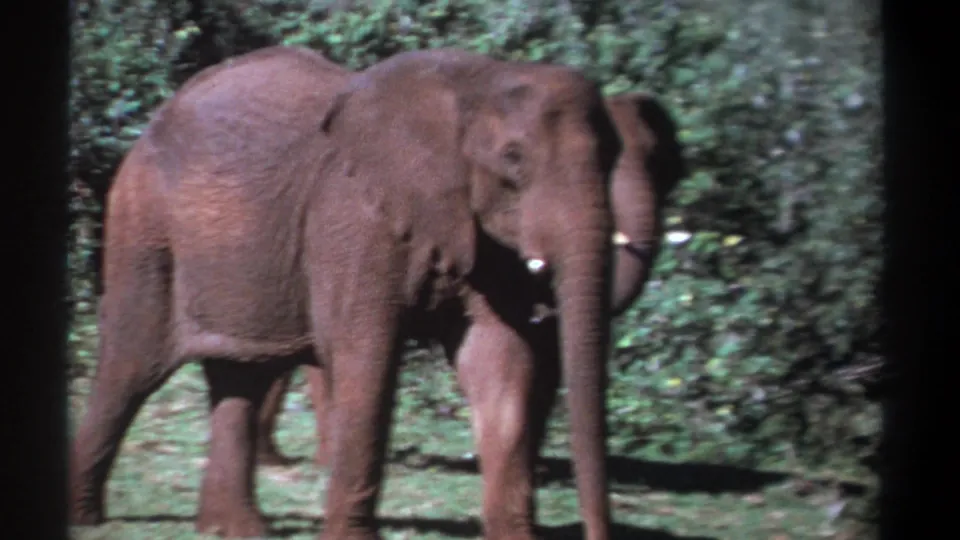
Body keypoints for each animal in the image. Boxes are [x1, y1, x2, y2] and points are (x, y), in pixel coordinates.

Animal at [68, 44, 634, 540]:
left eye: (613, 160)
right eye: (513, 158)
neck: (475, 82)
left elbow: (499, 361)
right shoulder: (355, 220)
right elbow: (367, 359)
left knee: (241, 377)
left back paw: (235, 530)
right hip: (145, 228)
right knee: (131, 365)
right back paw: (87, 518)